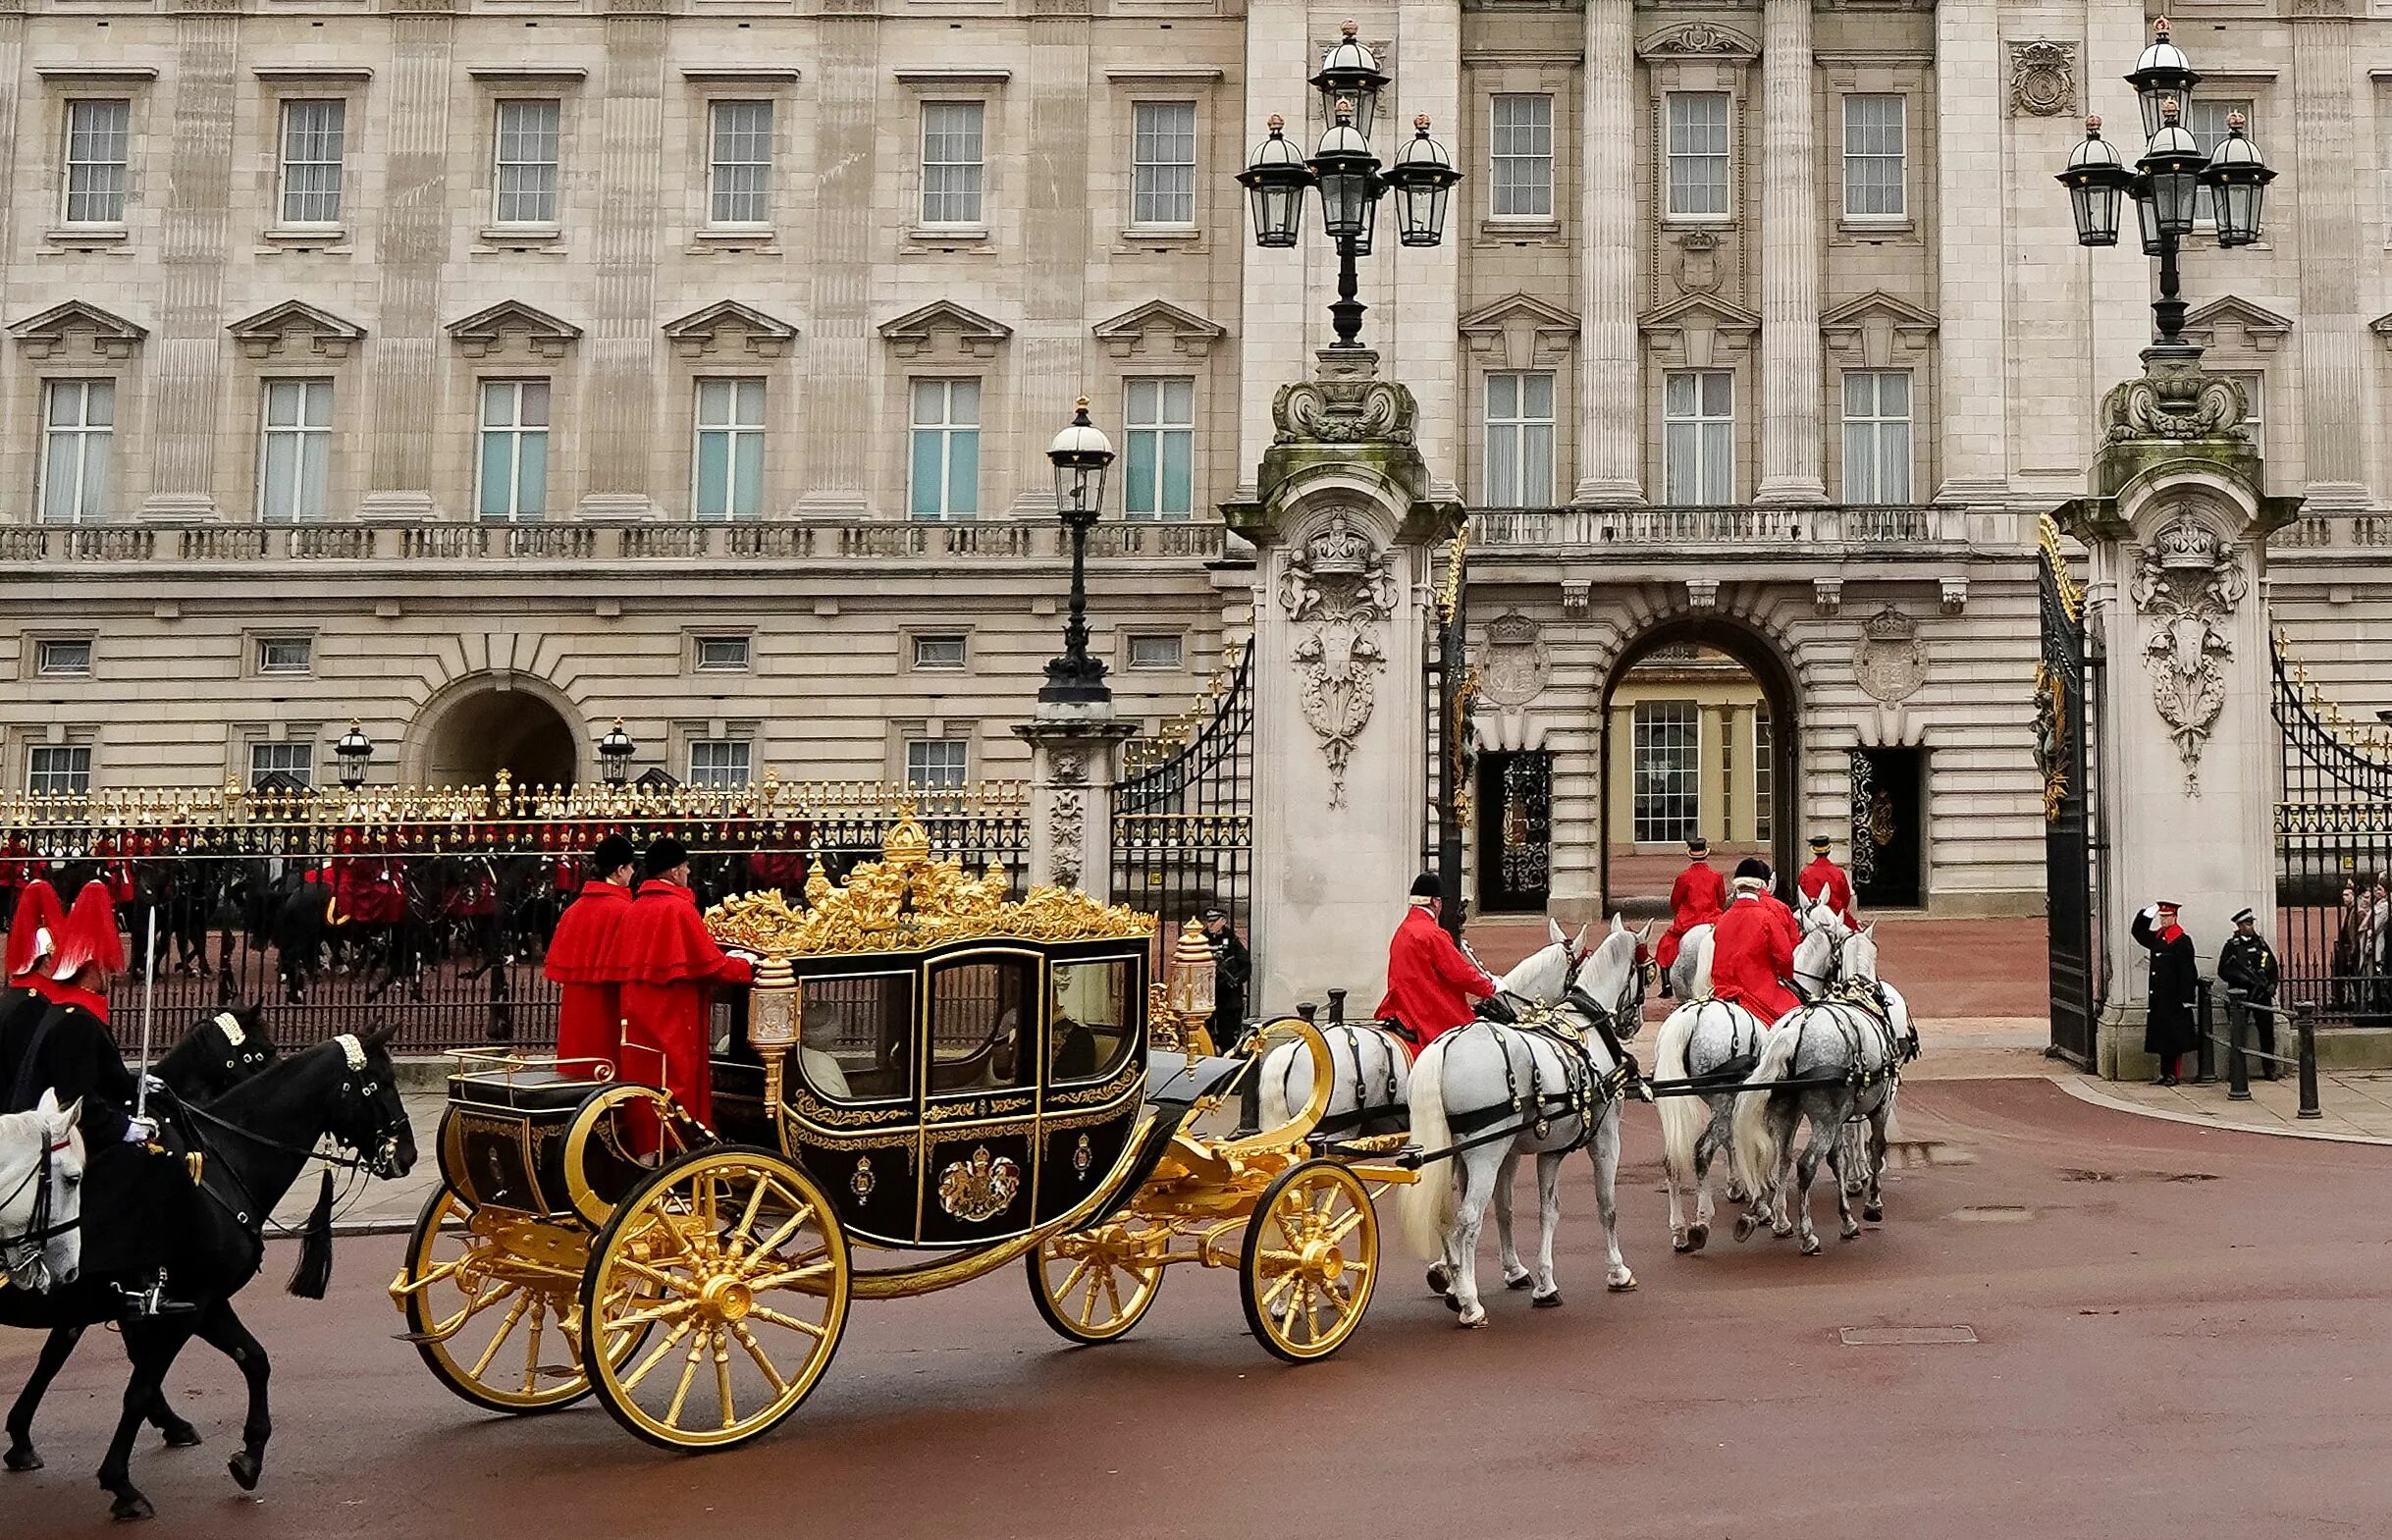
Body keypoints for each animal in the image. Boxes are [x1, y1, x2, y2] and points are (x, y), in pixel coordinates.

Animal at [1397, 918, 1645, 1329]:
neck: (1583, 1026)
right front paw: (1618, 1270)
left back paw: (1456, 1283)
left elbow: (1538, 1209)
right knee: (1467, 1217)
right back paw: (1470, 1304)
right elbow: (1606, 1203)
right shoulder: (1606, 1138)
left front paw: (1539, 1281)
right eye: (1648, 971)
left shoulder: (1544, 1150)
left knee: (1446, 1212)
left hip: (1452, 1154)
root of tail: (1443, 1046)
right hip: (1484, 1152)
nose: (1632, 1024)